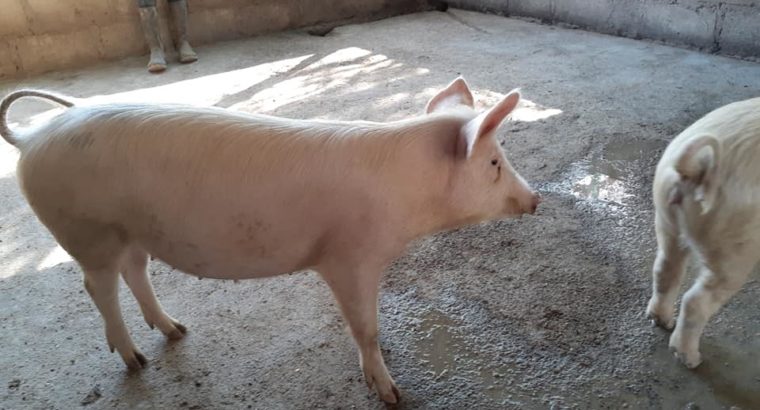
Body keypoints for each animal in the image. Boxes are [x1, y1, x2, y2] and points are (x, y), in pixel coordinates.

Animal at [0, 78, 540, 403]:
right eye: (495, 162)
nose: (536, 200)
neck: (409, 200)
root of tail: (31, 137)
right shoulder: (349, 256)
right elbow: (366, 327)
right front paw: (391, 395)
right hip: (87, 231)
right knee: (98, 287)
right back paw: (137, 362)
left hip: (129, 229)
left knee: (136, 270)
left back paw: (177, 331)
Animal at [646, 96, 760, 369]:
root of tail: (698, 168)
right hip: (736, 248)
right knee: (696, 301)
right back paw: (690, 359)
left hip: (665, 217)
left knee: (665, 269)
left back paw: (661, 320)